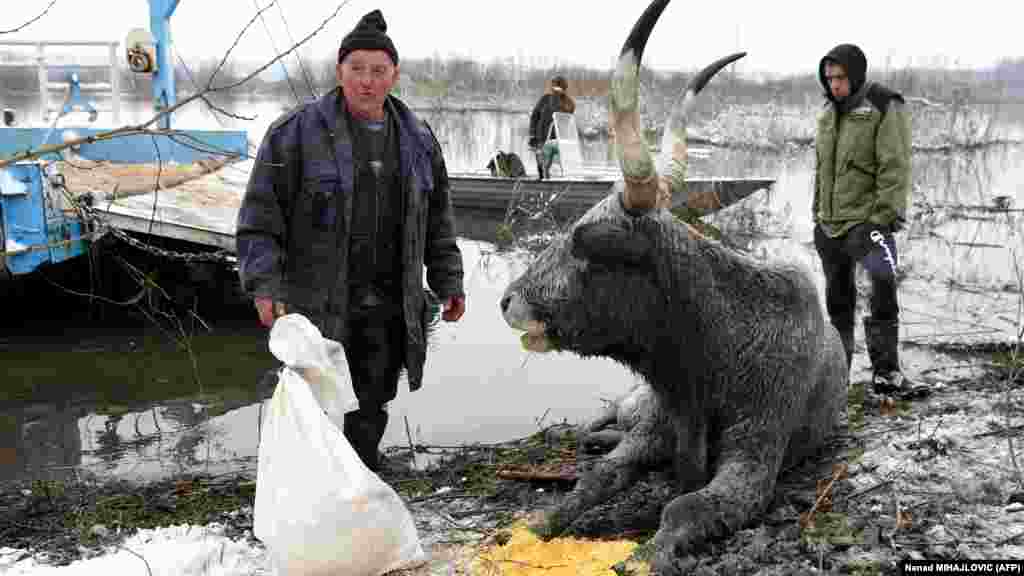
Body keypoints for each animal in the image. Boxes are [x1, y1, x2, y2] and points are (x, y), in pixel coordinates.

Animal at [497, 0, 847, 565]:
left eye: (584, 244)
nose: (508, 300)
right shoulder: (654, 428)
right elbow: (596, 480)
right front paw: (532, 528)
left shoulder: (754, 460)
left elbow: (684, 506)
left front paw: (642, 557)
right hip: (632, 404)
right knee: (607, 421)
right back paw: (594, 435)